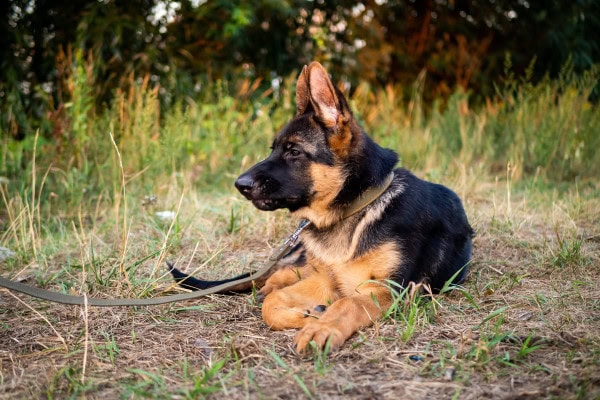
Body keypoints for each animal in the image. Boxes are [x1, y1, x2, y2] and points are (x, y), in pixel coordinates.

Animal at [169, 61, 474, 354]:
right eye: (273, 149)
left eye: (294, 151)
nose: (239, 184)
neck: (356, 210)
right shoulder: (326, 281)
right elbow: (273, 303)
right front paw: (309, 315)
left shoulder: (387, 289)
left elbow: (346, 304)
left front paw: (322, 327)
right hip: (303, 258)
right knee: (280, 275)